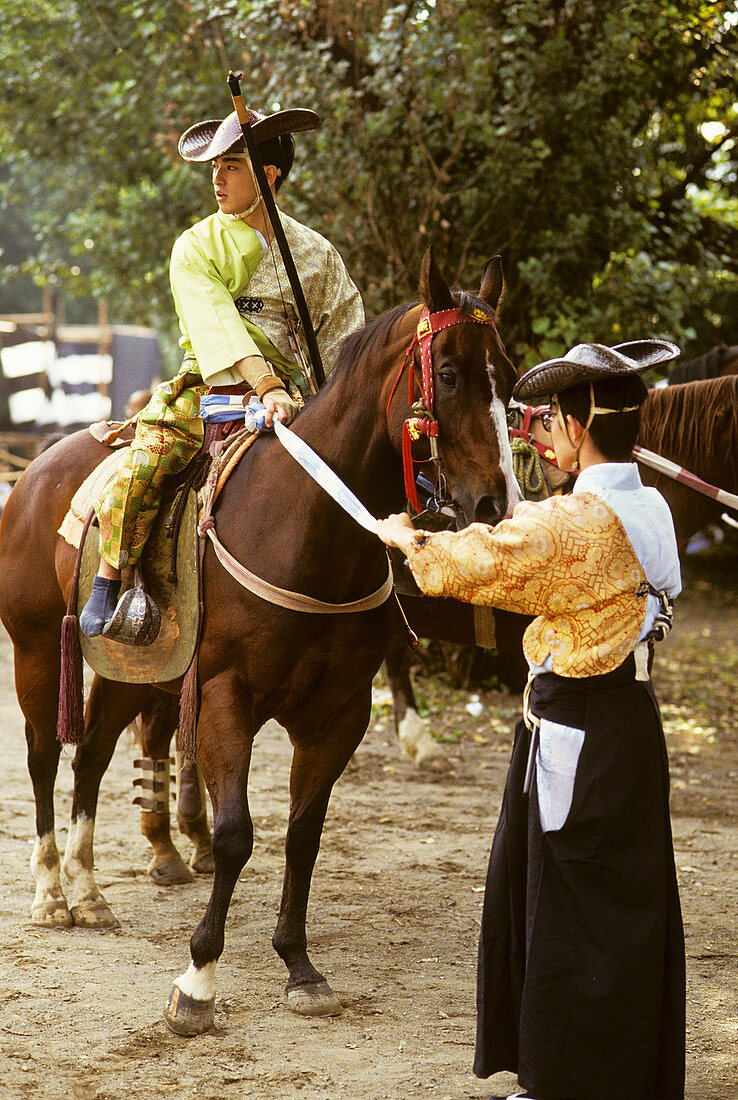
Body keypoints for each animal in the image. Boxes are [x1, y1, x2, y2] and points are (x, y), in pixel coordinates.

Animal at [0, 249, 519, 1029]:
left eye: (507, 377)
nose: (495, 502)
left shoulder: (338, 711)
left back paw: (89, 892)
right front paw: (197, 980)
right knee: (42, 757)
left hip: (131, 668)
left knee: (90, 754)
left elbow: (303, 835)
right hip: (35, 648)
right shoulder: (224, 696)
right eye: (451, 373)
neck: (307, 525)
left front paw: (299, 965)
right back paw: (52, 893)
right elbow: (236, 834)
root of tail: (33, 472)